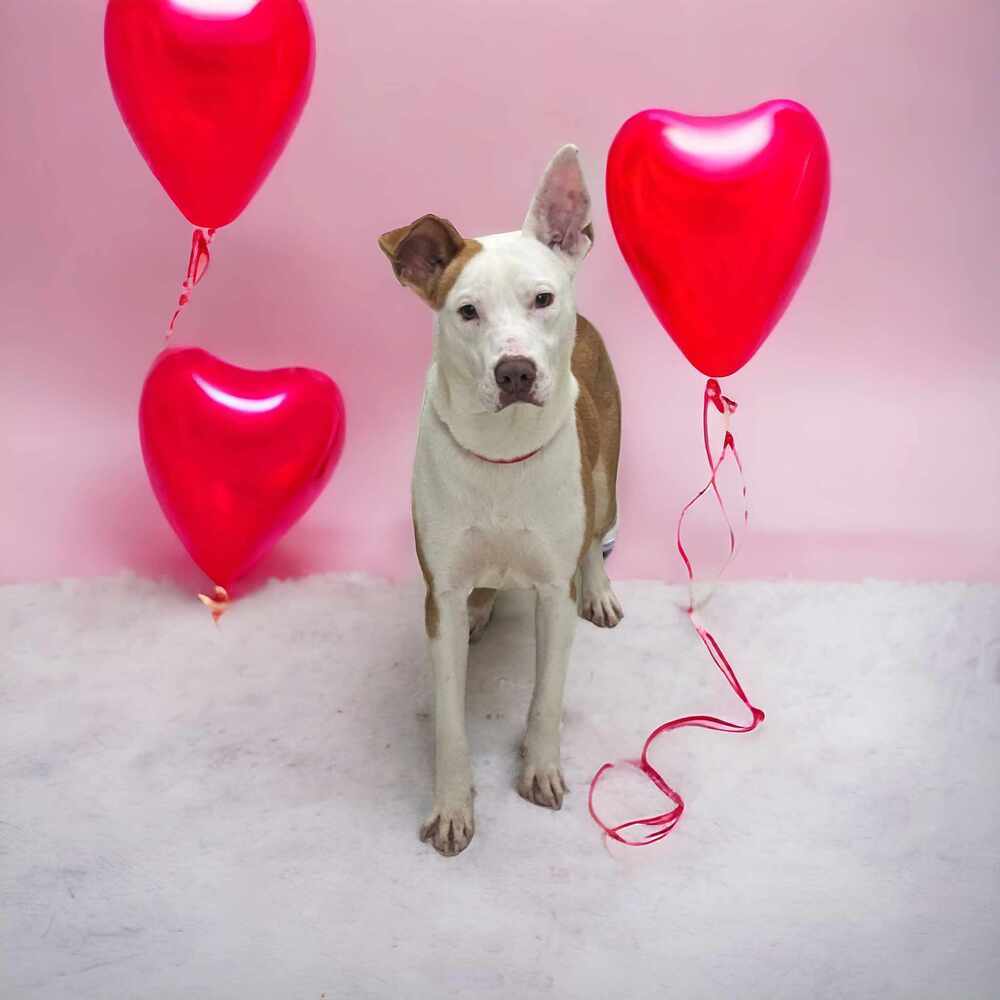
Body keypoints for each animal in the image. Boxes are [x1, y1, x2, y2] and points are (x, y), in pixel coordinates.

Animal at [378, 145, 620, 856]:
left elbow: (546, 696)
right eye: (466, 312)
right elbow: (450, 719)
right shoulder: (441, 591)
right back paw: (482, 611)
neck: (502, 453)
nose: (515, 372)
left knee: (595, 538)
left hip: (605, 482)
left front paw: (539, 768)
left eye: (541, 299)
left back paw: (599, 588)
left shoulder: (553, 592)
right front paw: (453, 807)